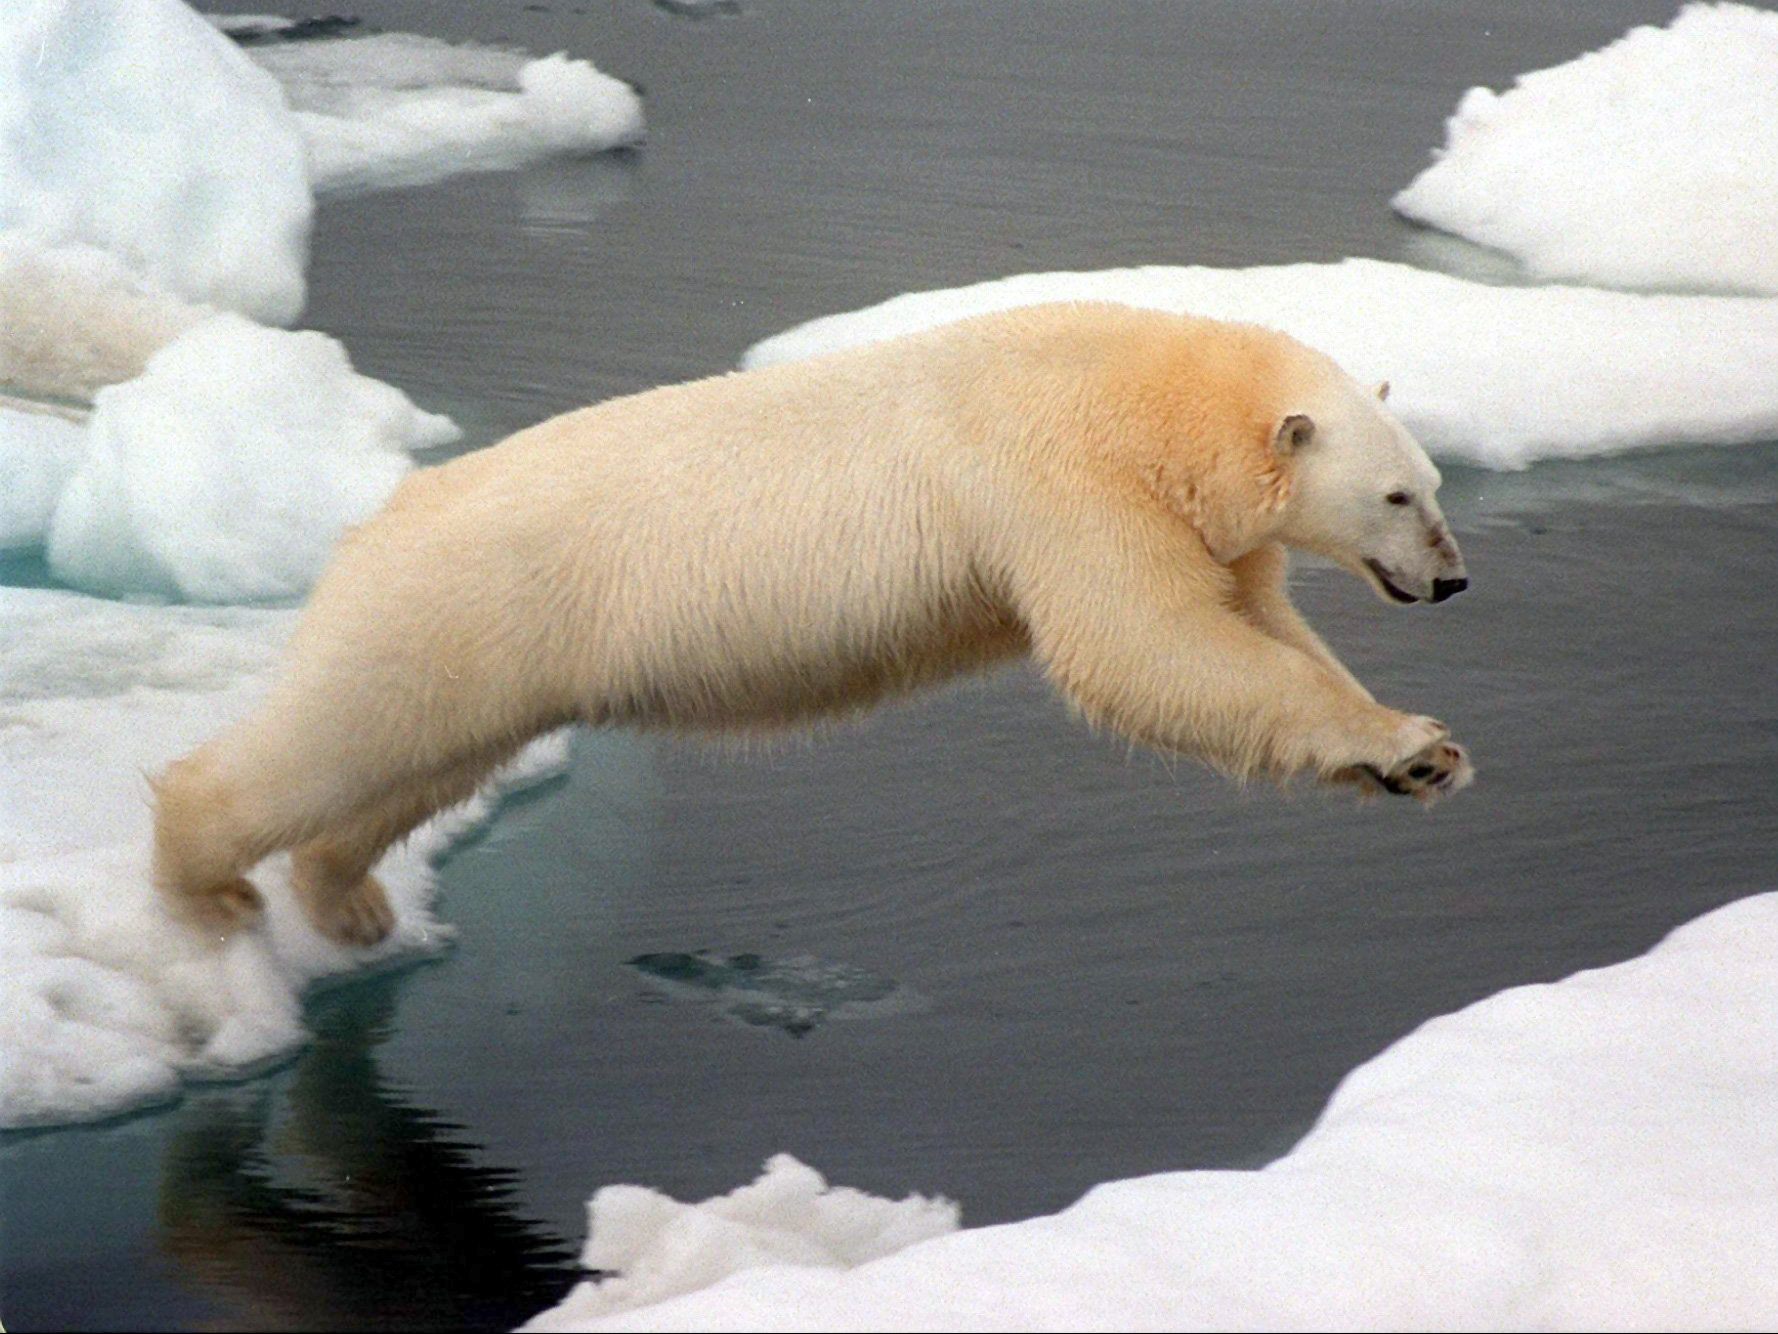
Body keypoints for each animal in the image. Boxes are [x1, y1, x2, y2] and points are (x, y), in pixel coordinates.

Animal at [156, 302, 1472, 953]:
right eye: (1396, 497)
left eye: (1431, 483)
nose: (1453, 580)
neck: (1151, 392)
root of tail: (374, 519)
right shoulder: (1059, 475)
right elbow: (1142, 645)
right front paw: (1409, 740)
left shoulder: (1197, 518)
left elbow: (1253, 625)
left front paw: (1417, 753)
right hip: (457, 602)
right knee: (335, 739)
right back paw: (206, 884)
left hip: (489, 648)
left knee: (418, 763)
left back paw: (347, 898)